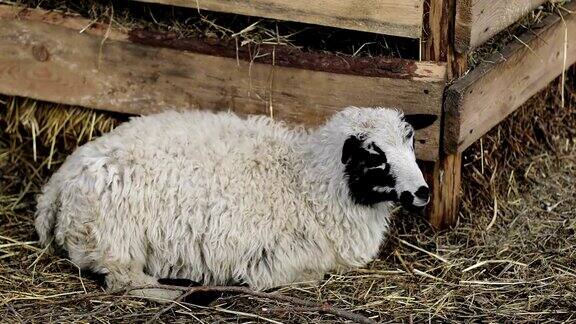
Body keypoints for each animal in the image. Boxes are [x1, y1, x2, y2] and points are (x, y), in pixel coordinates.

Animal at [33, 107, 434, 302]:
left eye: (411, 142)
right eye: (374, 157)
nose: (422, 192)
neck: (305, 181)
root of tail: (58, 183)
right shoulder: (276, 262)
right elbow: (307, 275)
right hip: (113, 239)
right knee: (123, 280)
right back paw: (177, 292)